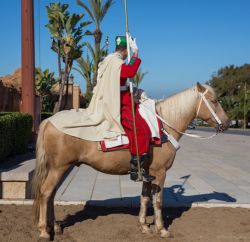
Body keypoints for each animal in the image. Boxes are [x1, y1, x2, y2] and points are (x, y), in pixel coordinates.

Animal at [31, 82, 230, 240]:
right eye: (214, 101)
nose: (228, 123)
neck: (164, 127)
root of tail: (49, 120)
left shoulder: (148, 173)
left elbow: (144, 198)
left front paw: (143, 226)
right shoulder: (160, 173)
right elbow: (158, 201)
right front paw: (161, 229)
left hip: (61, 167)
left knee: (51, 194)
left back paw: (54, 226)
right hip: (59, 168)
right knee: (46, 192)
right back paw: (43, 231)